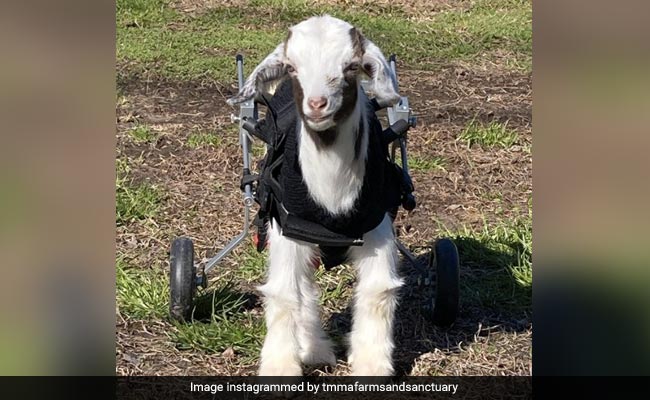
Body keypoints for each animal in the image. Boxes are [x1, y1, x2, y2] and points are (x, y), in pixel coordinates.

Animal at [228, 15, 403, 376]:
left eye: (351, 66)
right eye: (292, 67)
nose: (317, 104)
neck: (332, 197)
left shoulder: (377, 225)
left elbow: (378, 291)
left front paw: (372, 366)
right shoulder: (287, 226)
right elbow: (283, 294)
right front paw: (279, 369)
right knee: (303, 288)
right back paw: (315, 350)